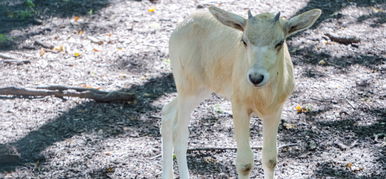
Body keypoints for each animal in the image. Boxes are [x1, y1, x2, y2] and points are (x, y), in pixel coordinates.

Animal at [161, 5, 322, 179]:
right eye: (244, 41)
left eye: (280, 42)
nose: (256, 77)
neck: (261, 96)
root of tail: (179, 27)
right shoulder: (239, 106)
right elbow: (245, 164)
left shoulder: (275, 110)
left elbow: (270, 159)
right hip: (189, 86)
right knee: (180, 133)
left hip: (202, 88)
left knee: (168, 111)